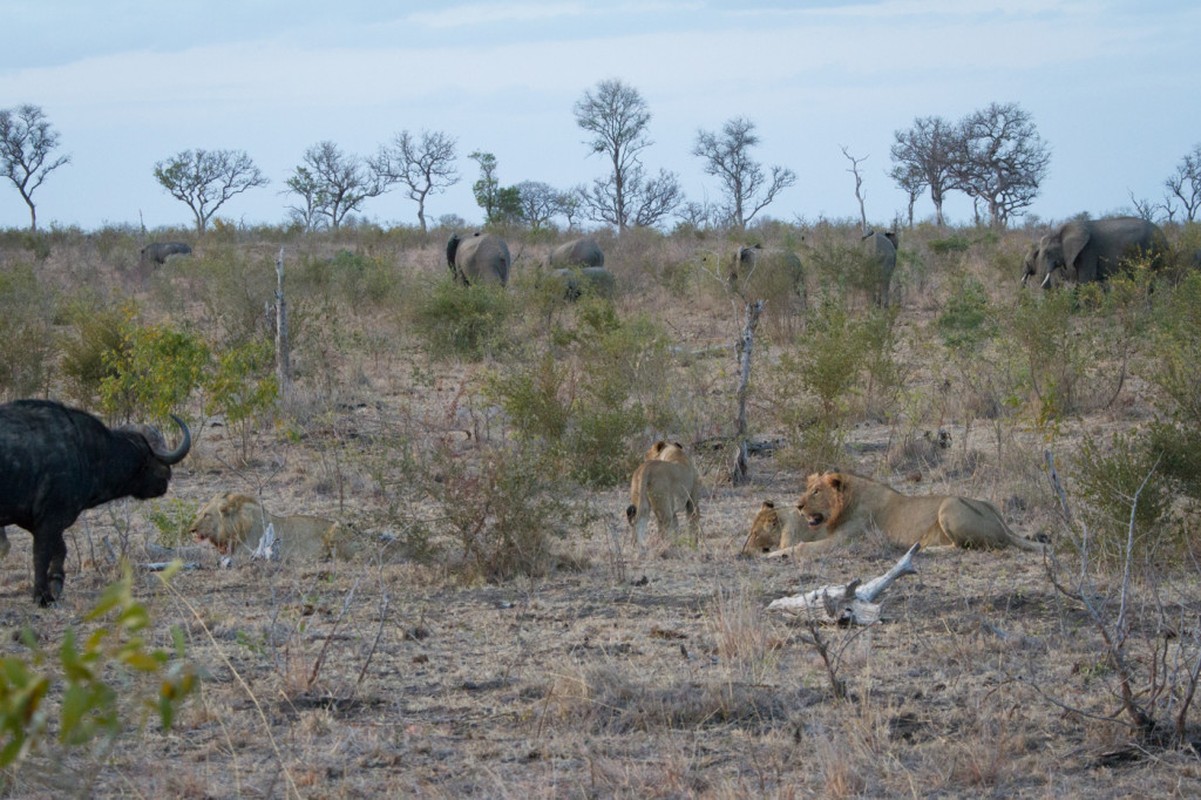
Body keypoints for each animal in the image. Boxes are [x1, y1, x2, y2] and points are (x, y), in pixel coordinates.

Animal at [0, 401, 189, 600]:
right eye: (149, 456)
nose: (166, 477)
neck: (86, 451)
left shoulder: (34, 522)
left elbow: (60, 549)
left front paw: (56, 582)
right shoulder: (50, 519)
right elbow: (41, 555)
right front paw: (42, 596)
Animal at [759, 470, 1052, 557]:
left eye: (817, 492)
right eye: (807, 489)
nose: (798, 506)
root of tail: (1003, 526)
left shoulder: (844, 541)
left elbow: (800, 547)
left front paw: (772, 555)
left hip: (949, 506)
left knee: (964, 546)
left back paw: (923, 548)